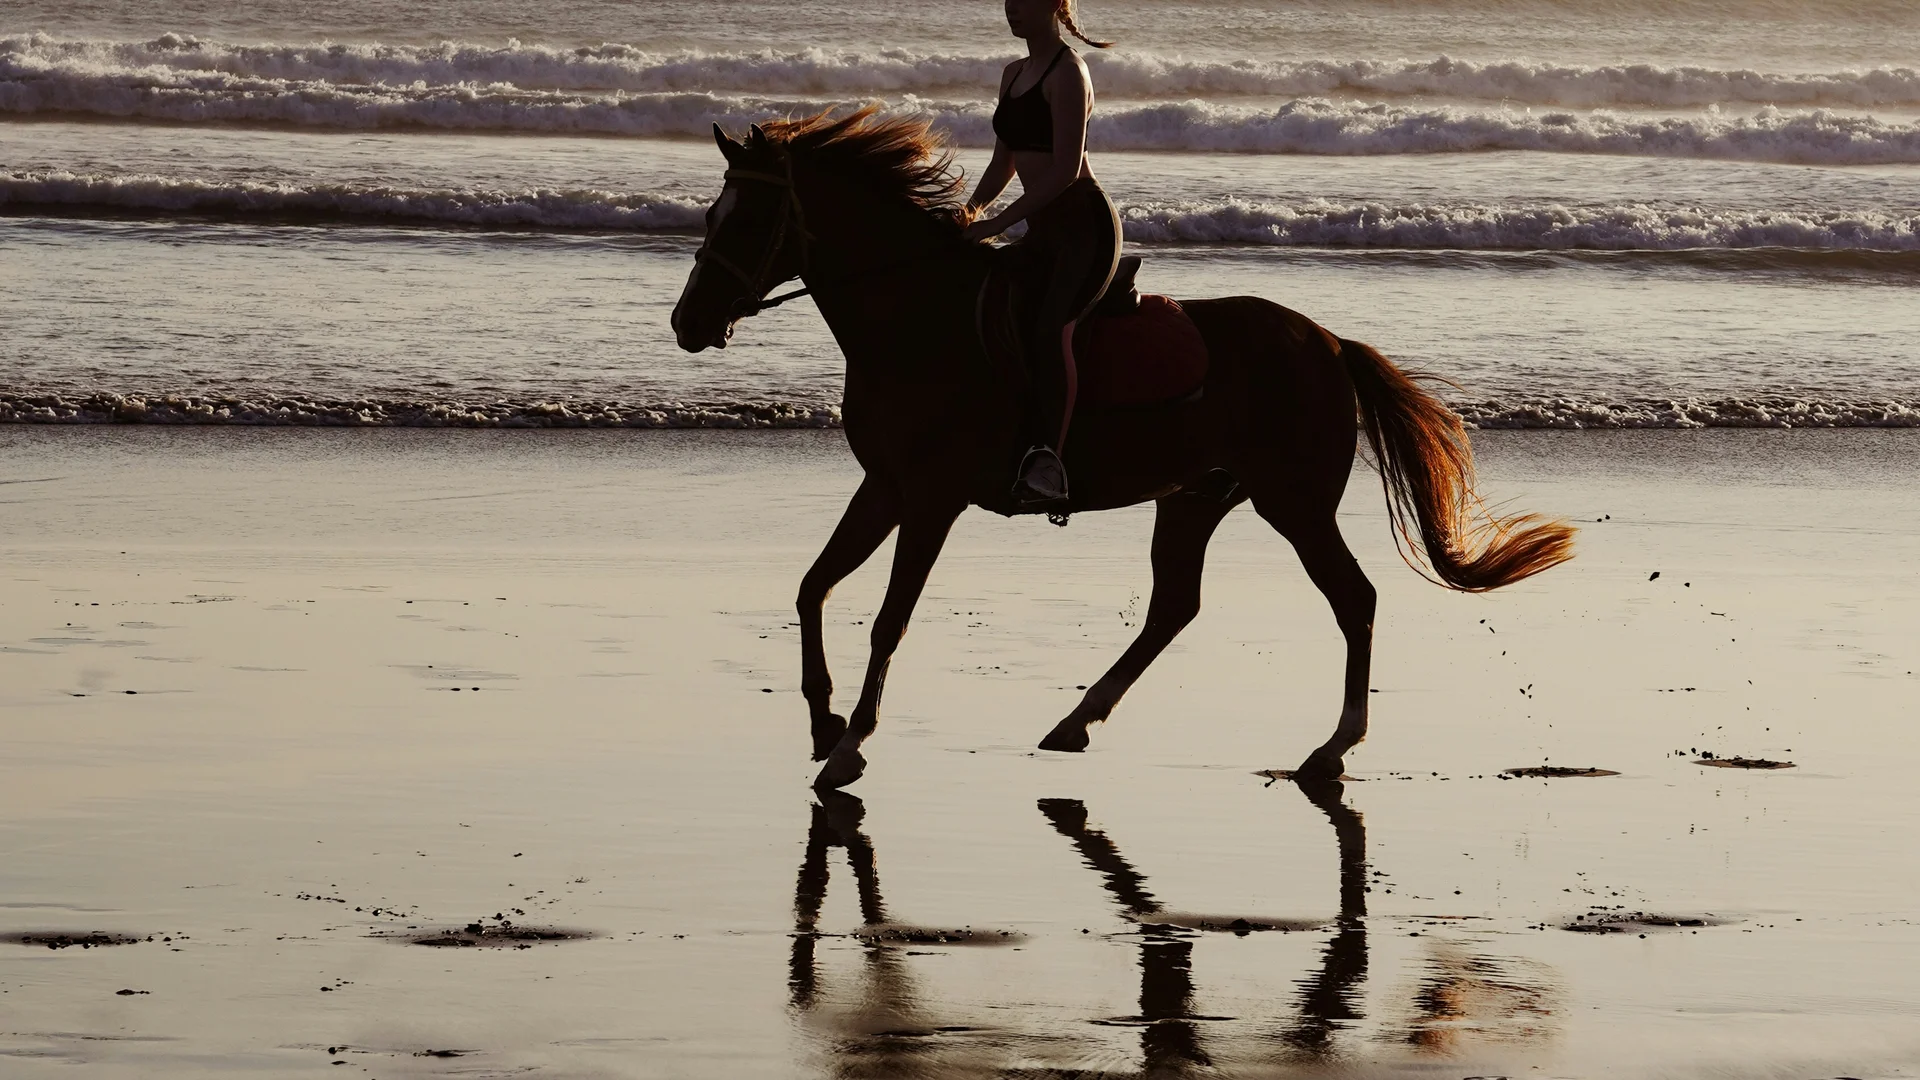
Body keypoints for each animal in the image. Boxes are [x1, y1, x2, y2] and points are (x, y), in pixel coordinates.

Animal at [670, 108, 1575, 791]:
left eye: (747, 218)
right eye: (712, 215)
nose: (687, 323)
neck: (915, 320)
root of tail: (1326, 342)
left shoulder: (931, 500)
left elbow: (889, 620)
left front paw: (851, 744)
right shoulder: (886, 488)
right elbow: (812, 587)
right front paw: (823, 722)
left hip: (1294, 501)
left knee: (1353, 599)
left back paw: (1330, 749)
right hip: (1196, 496)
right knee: (1175, 606)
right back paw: (1075, 720)